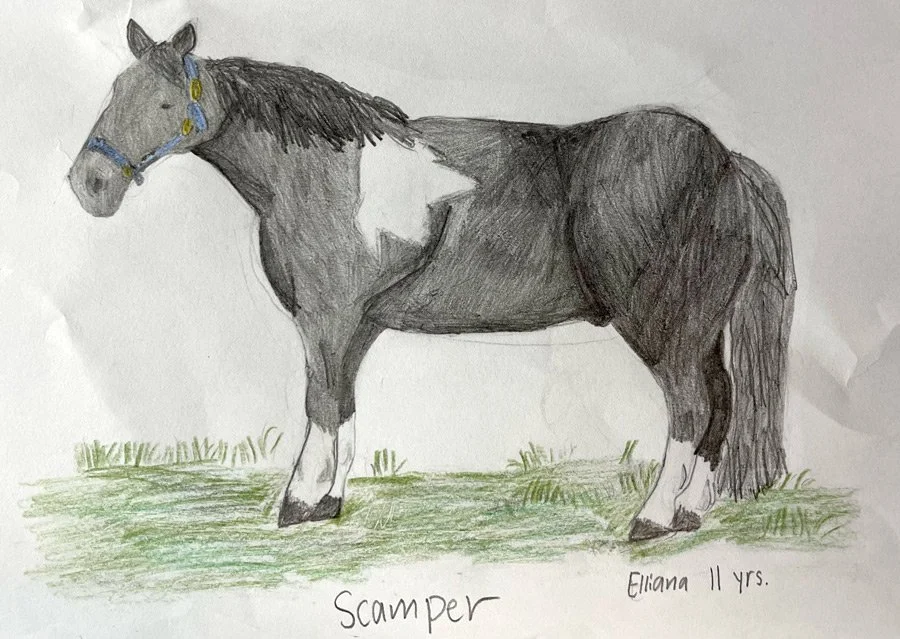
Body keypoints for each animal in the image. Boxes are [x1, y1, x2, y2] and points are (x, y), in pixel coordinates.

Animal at [68, 21, 796, 541]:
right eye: (113, 91)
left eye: (165, 99)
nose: (89, 184)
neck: (328, 173)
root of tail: (728, 164)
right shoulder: (355, 325)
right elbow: (344, 405)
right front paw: (328, 501)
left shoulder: (325, 319)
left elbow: (319, 404)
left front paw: (296, 502)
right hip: (701, 327)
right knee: (722, 403)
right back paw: (690, 513)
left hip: (661, 326)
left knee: (692, 408)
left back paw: (651, 519)